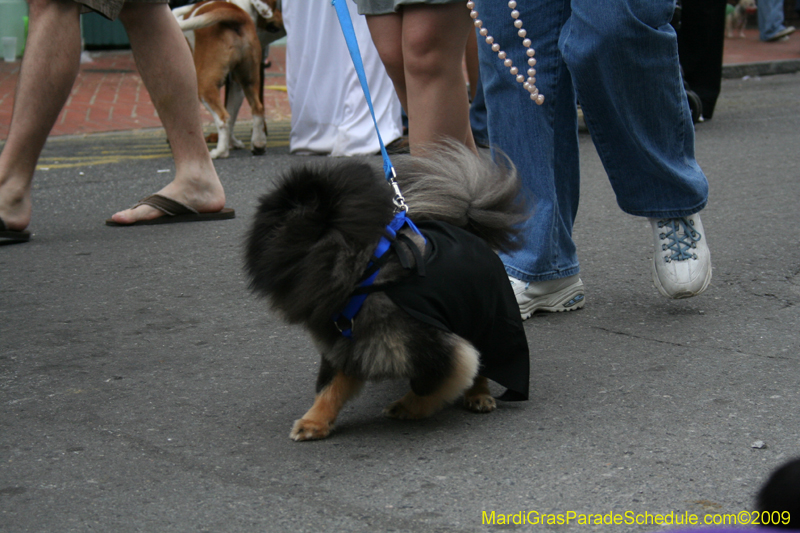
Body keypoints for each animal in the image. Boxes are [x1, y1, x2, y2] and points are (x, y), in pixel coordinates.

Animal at [173, 0, 268, 158]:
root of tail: (235, 15)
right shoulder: (236, 88)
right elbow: (233, 116)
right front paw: (234, 143)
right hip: (250, 79)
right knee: (257, 109)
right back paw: (258, 144)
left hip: (204, 85)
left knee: (223, 117)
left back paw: (220, 152)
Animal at [244, 142, 532, 440]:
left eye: (279, 211)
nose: (261, 212)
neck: (362, 272)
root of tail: (469, 227)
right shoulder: (347, 342)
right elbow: (329, 388)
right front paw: (314, 422)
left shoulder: (437, 347)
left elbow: (431, 383)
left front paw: (407, 407)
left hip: (488, 320)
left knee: (486, 359)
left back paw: (478, 395)